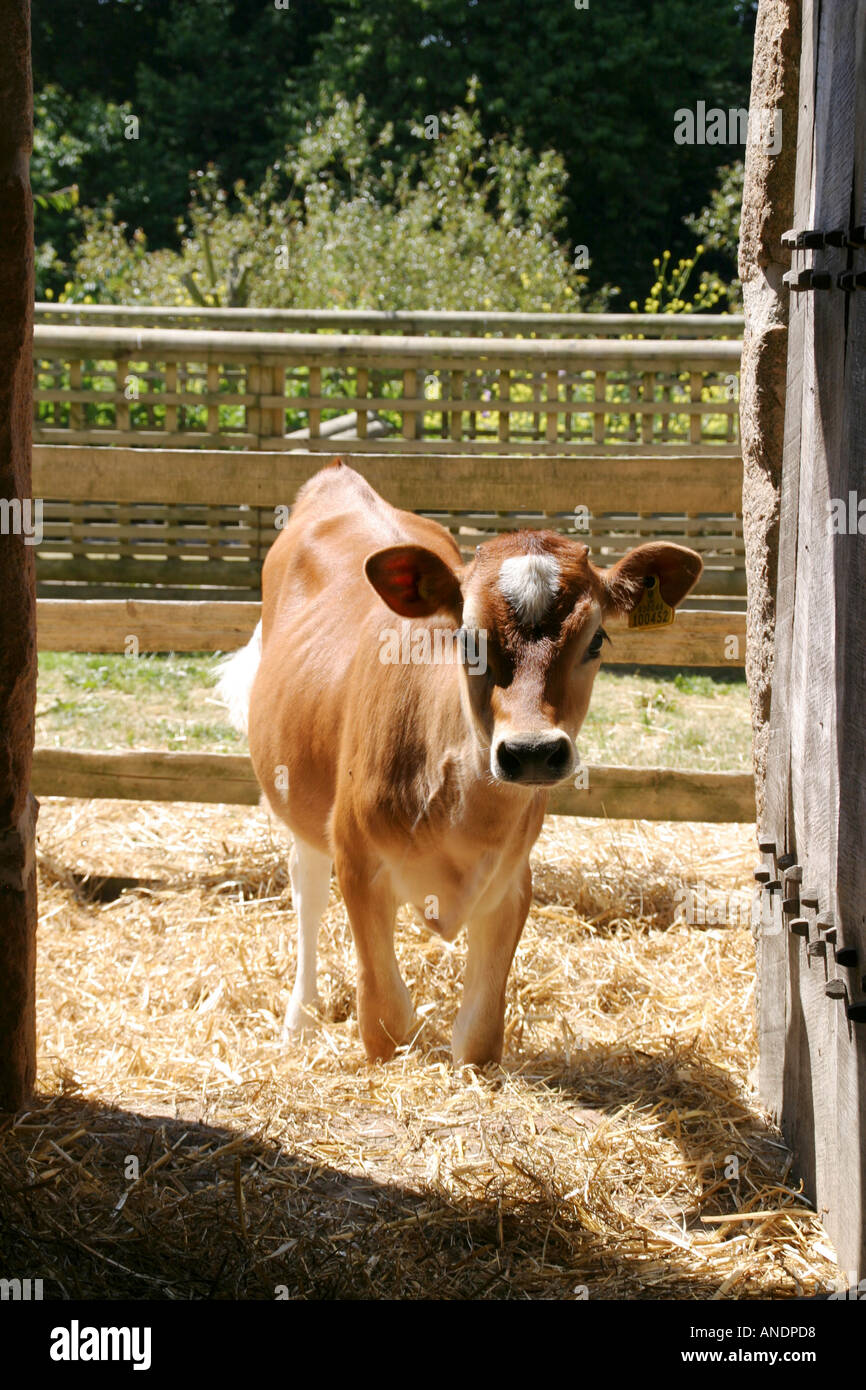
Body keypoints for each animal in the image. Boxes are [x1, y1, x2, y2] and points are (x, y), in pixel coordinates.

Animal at [218, 460, 702, 1066]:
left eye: (597, 640)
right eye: (468, 638)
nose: (532, 751)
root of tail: (339, 477)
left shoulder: (513, 881)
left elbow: (479, 1036)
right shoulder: (357, 859)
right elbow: (387, 1021)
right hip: (299, 798)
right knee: (307, 888)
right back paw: (298, 1020)